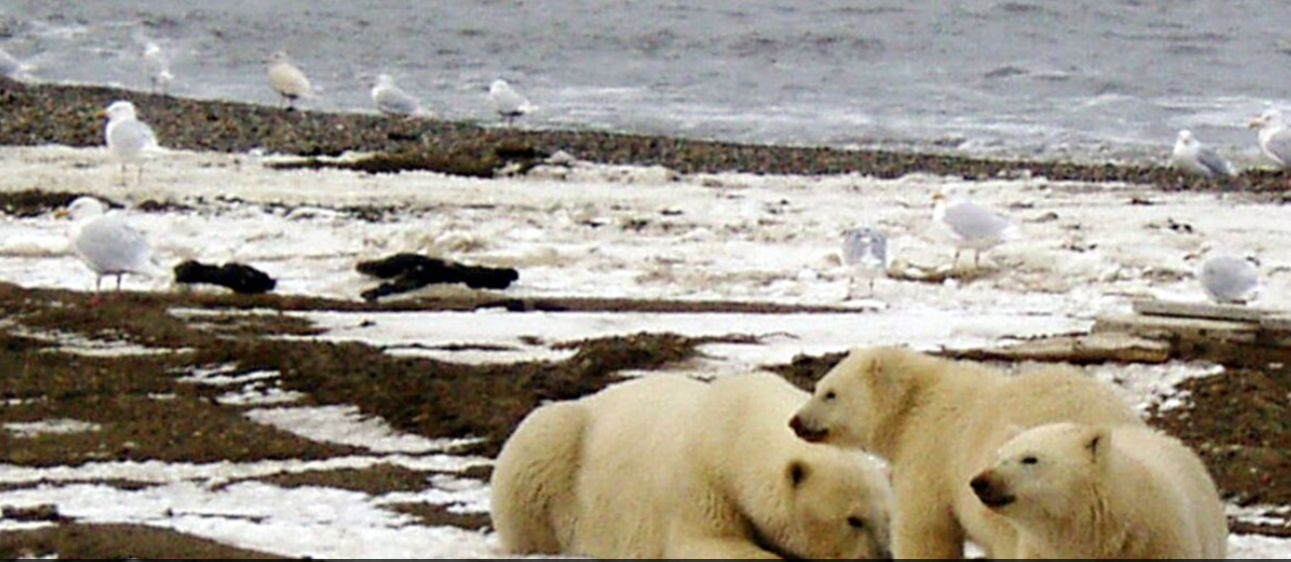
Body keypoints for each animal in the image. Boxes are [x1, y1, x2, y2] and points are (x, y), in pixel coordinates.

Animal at [487, 372, 893, 560]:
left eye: (887, 518)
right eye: (853, 519)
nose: (882, 557)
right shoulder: (700, 483)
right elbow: (708, 543)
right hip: (555, 450)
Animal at [784, 348, 1141, 558]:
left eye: (830, 394)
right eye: (819, 387)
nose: (795, 421)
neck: (916, 401)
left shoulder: (931, 450)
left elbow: (926, 527)